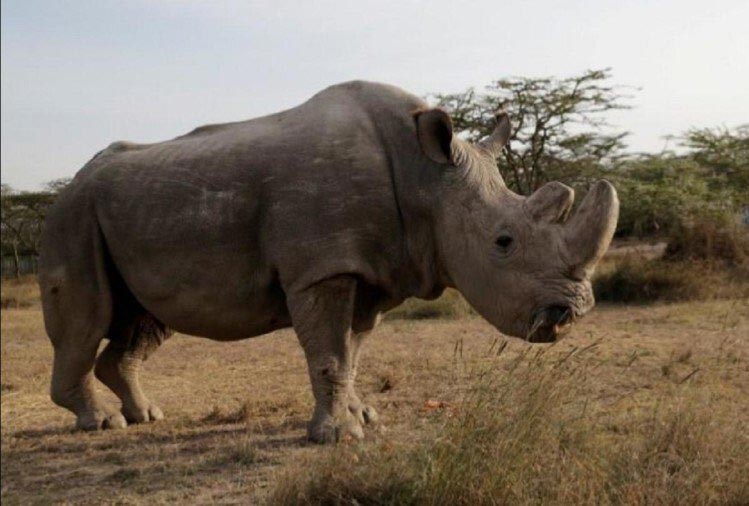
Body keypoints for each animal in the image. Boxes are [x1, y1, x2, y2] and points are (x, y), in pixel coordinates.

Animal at [39, 80, 618, 442]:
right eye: (504, 242)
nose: (570, 314)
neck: (427, 179)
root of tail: (68, 184)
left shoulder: (372, 270)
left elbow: (351, 352)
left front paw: (364, 417)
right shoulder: (322, 268)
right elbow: (329, 354)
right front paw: (336, 437)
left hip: (128, 214)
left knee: (145, 321)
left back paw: (145, 416)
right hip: (73, 216)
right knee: (87, 317)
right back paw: (103, 424)